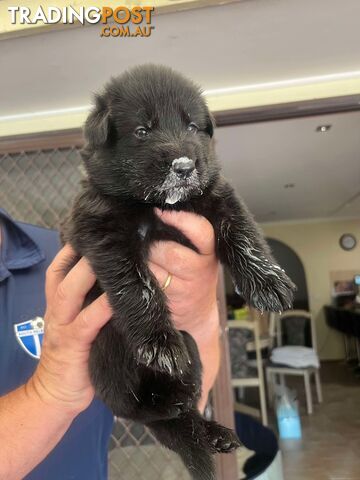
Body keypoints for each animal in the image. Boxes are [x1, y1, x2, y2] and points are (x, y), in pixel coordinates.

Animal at [63, 64, 296, 480]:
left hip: (193, 350)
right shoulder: (104, 231)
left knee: (183, 415)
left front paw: (268, 282)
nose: (184, 167)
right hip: (106, 348)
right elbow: (138, 286)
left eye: (191, 126)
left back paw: (211, 429)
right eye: (142, 131)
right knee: (136, 407)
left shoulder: (218, 196)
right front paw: (159, 343)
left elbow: (243, 232)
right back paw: (163, 401)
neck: (157, 205)